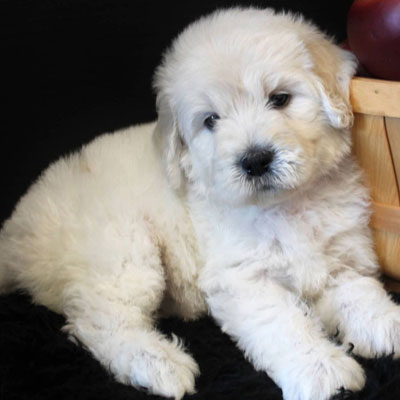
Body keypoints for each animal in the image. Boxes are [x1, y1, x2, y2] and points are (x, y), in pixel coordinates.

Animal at [0, 7, 400, 400]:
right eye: (211, 120)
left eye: (280, 98)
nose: (255, 160)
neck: (286, 205)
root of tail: (17, 226)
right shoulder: (241, 278)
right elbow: (284, 324)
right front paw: (322, 369)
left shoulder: (339, 259)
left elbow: (360, 294)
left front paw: (387, 325)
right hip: (122, 252)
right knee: (100, 319)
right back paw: (159, 364)